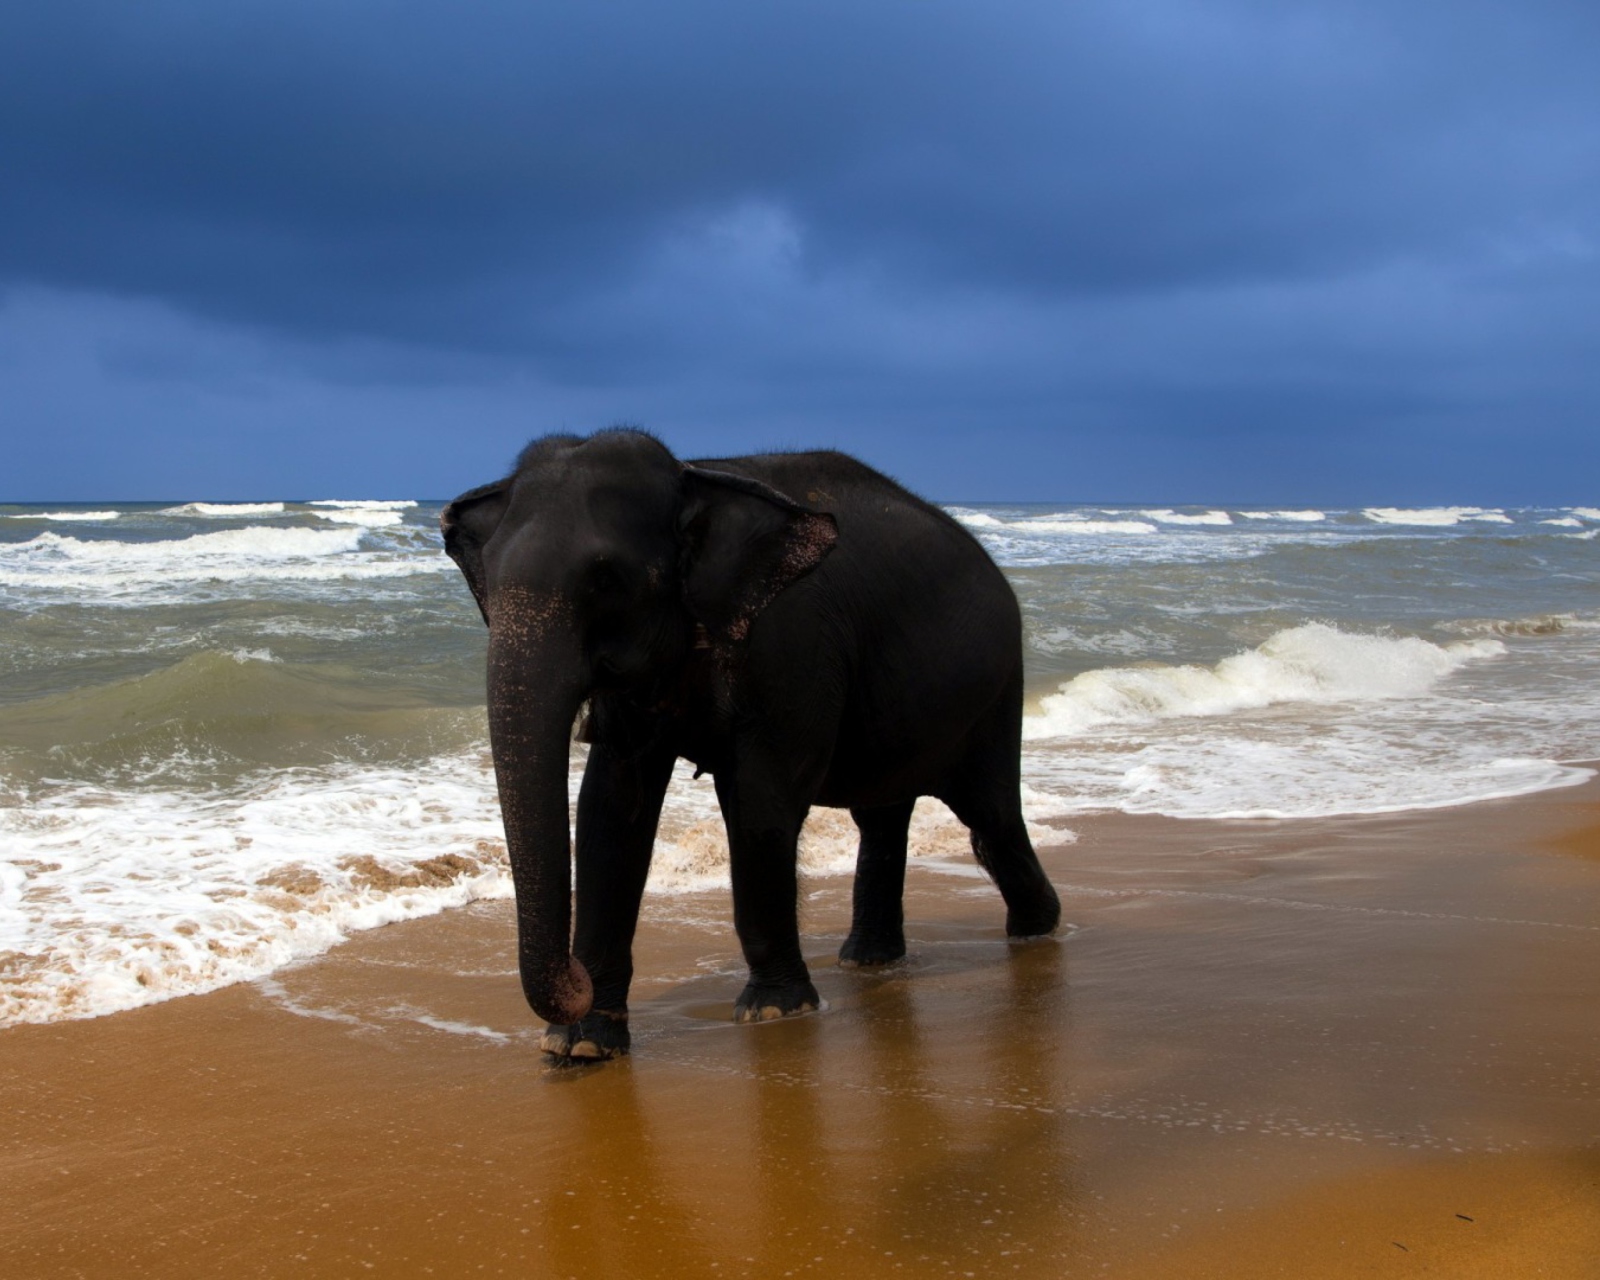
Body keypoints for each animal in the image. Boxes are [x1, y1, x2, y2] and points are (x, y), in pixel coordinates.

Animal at [441, 428, 1062, 1062]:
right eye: (487, 580)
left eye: (605, 579)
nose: (576, 979)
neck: (695, 476)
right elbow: (609, 812)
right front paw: (581, 1046)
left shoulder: (793, 644)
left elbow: (760, 806)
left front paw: (774, 1011)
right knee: (885, 815)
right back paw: (869, 959)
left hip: (996, 689)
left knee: (990, 816)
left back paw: (1036, 930)